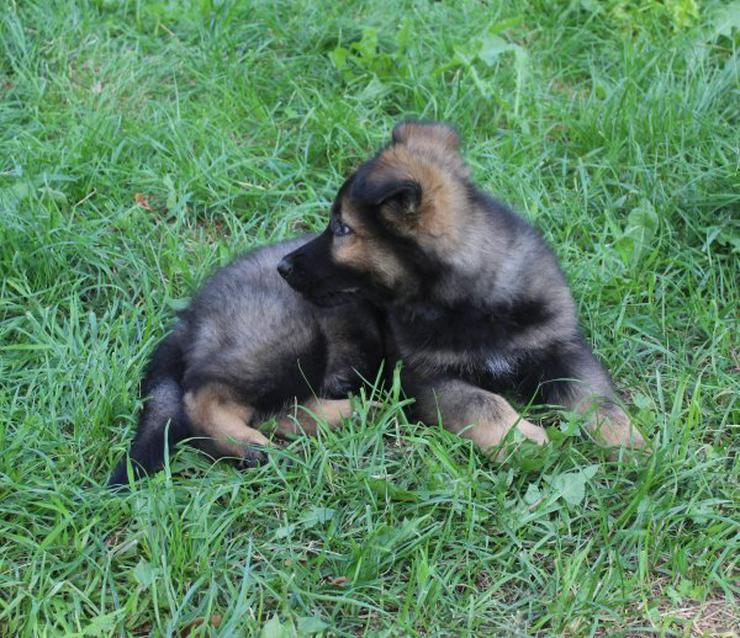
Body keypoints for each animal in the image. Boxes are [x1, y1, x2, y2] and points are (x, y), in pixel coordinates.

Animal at [111, 238, 388, 488]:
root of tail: (191, 319)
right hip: (291, 339)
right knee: (206, 400)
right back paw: (255, 448)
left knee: (283, 412)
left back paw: (362, 410)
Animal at [278, 121, 640, 456]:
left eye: (341, 228)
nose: (283, 266)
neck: (476, 301)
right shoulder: (425, 377)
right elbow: (483, 403)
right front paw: (523, 440)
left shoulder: (562, 347)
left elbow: (597, 399)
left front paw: (628, 442)